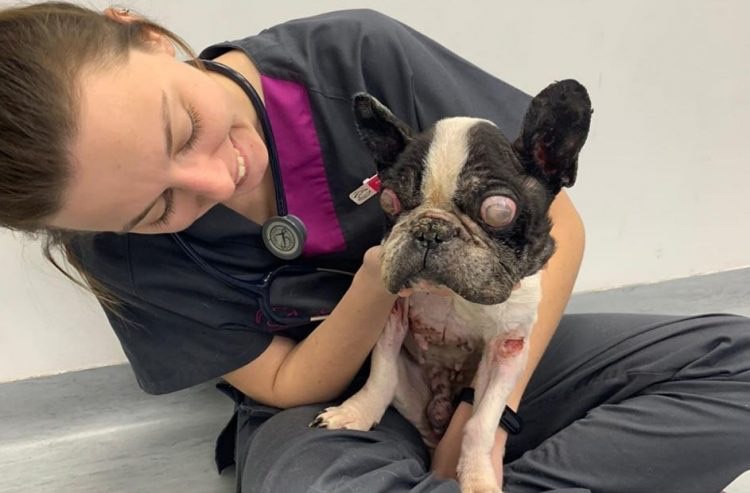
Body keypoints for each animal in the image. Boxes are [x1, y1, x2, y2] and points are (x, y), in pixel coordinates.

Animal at [312, 80, 592, 492]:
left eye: (499, 210)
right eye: (389, 201)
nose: (430, 228)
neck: (450, 294)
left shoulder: (509, 348)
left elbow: (481, 423)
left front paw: (477, 477)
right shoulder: (391, 315)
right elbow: (381, 373)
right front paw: (356, 412)